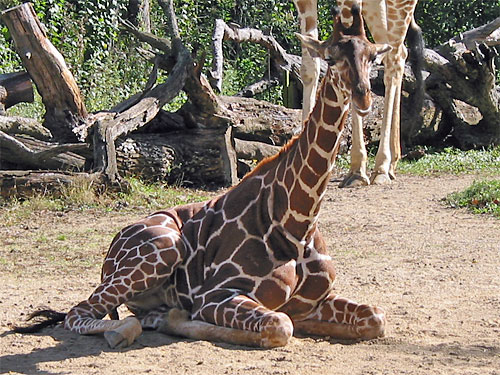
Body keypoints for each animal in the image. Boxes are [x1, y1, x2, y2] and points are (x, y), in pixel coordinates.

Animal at [14, 5, 390, 352]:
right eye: (331, 57)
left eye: (372, 56)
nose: (363, 97)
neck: (297, 221)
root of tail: (112, 248)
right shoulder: (217, 296)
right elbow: (281, 326)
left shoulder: (312, 302)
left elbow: (375, 318)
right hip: (163, 246)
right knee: (80, 312)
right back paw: (131, 328)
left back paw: (164, 317)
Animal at [292, 0, 422, 188]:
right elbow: (310, 66)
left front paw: (357, 171)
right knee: (395, 50)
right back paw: (393, 161)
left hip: (401, 4)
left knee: (394, 58)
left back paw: (382, 167)